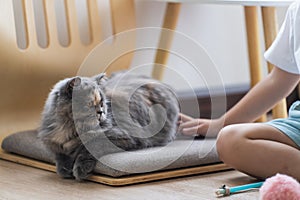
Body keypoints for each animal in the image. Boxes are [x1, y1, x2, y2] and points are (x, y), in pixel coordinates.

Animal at [37, 72, 178, 181]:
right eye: (89, 104)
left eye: (102, 103)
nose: (101, 112)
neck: (70, 130)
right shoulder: (55, 144)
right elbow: (60, 156)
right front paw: (65, 169)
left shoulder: (121, 137)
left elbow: (89, 148)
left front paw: (80, 169)